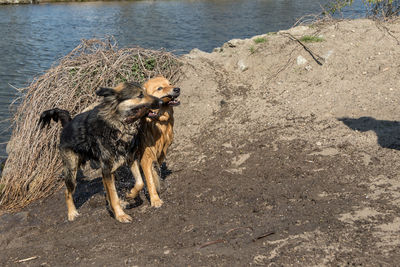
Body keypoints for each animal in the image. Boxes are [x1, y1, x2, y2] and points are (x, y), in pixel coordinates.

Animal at [38, 82, 162, 224]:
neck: (117, 125)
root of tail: (67, 124)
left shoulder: (129, 159)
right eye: (140, 95)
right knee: (67, 192)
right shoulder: (106, 168)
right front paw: (120, 215)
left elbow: (140, 182)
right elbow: (113, 195)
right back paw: (72, 213)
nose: (161, 101)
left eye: (146, 92)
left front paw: (130, 194)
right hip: (72, 169)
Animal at [126, 76, 180, 208]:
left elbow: (154, 173)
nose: (177, 89)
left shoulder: (160, 155)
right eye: (159, 88)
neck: (159, 122)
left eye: (170, 84)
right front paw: (155, 200)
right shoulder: (145, 158)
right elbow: (148, 181)